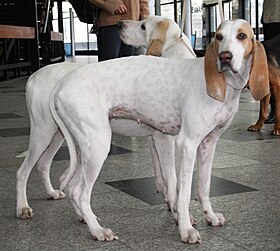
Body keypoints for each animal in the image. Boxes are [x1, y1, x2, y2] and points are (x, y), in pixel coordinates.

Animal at [48, 19, 270, 243]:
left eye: (242, 36)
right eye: (219, 37)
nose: (225, 57)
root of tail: (61, 84)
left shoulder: (208, 143)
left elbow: (203, 187)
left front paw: (210, 216)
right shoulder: (184, 144)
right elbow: (181, 191)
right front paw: (185, 228)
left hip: (84, 149)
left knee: (70, 184)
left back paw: (86, 219)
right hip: (97, 147)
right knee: (79, 192)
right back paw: (97, 230)